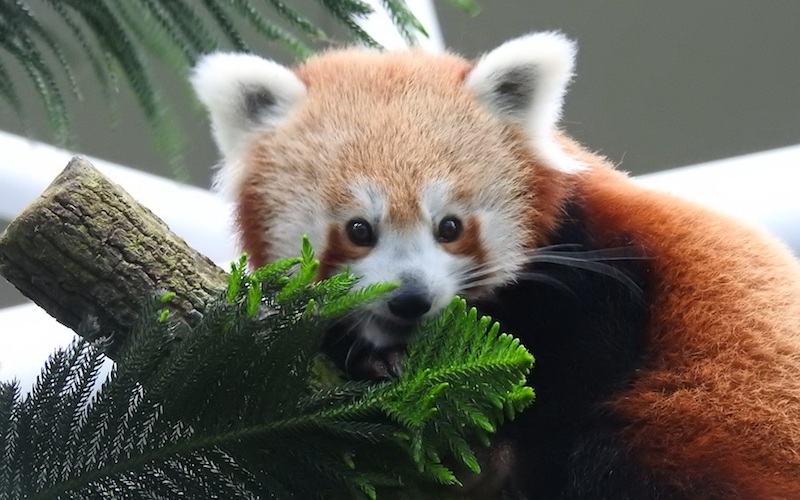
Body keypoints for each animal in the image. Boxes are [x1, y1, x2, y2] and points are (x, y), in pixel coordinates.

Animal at [191, 33, 800, 498]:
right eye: (359, 230)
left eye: (450, 227)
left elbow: (579, 364)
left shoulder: (600, 266)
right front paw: (373, 359)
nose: (411, 299)